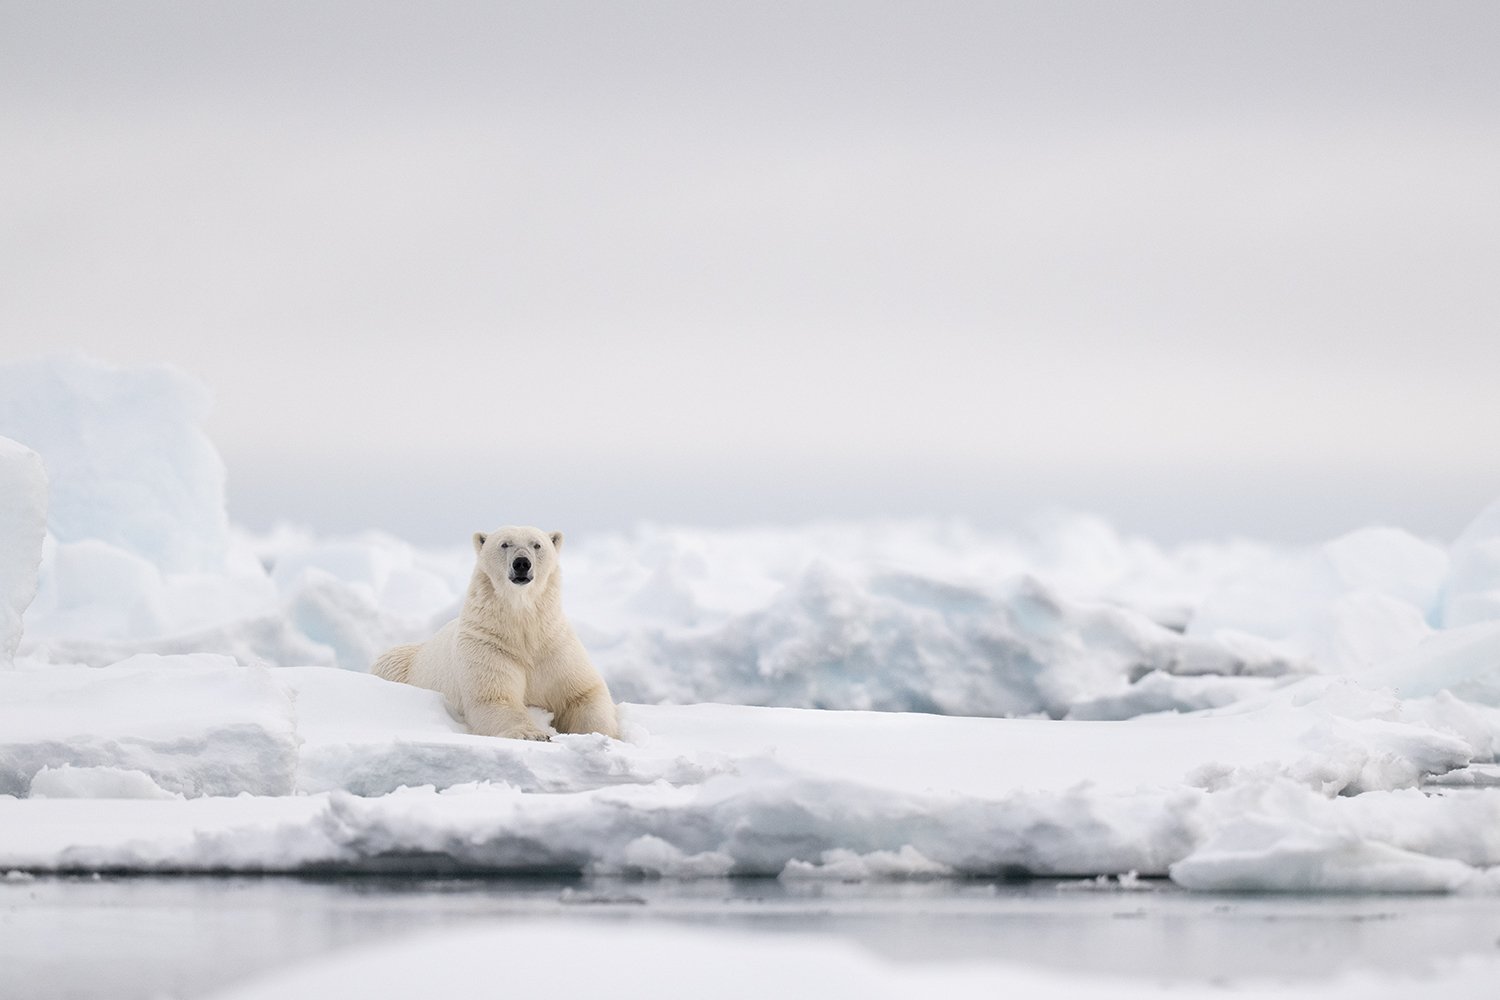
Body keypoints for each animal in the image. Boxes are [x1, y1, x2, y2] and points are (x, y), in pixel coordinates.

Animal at [371, 526, 620, 741]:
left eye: (537, 544)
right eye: (504, 544)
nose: (522, 563)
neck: (522, 628)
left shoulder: (555, 646)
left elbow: (583, 693)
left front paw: (602, 735)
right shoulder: (489, 645)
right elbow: (495, 697)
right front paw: (533, 734)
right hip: (394, 664)